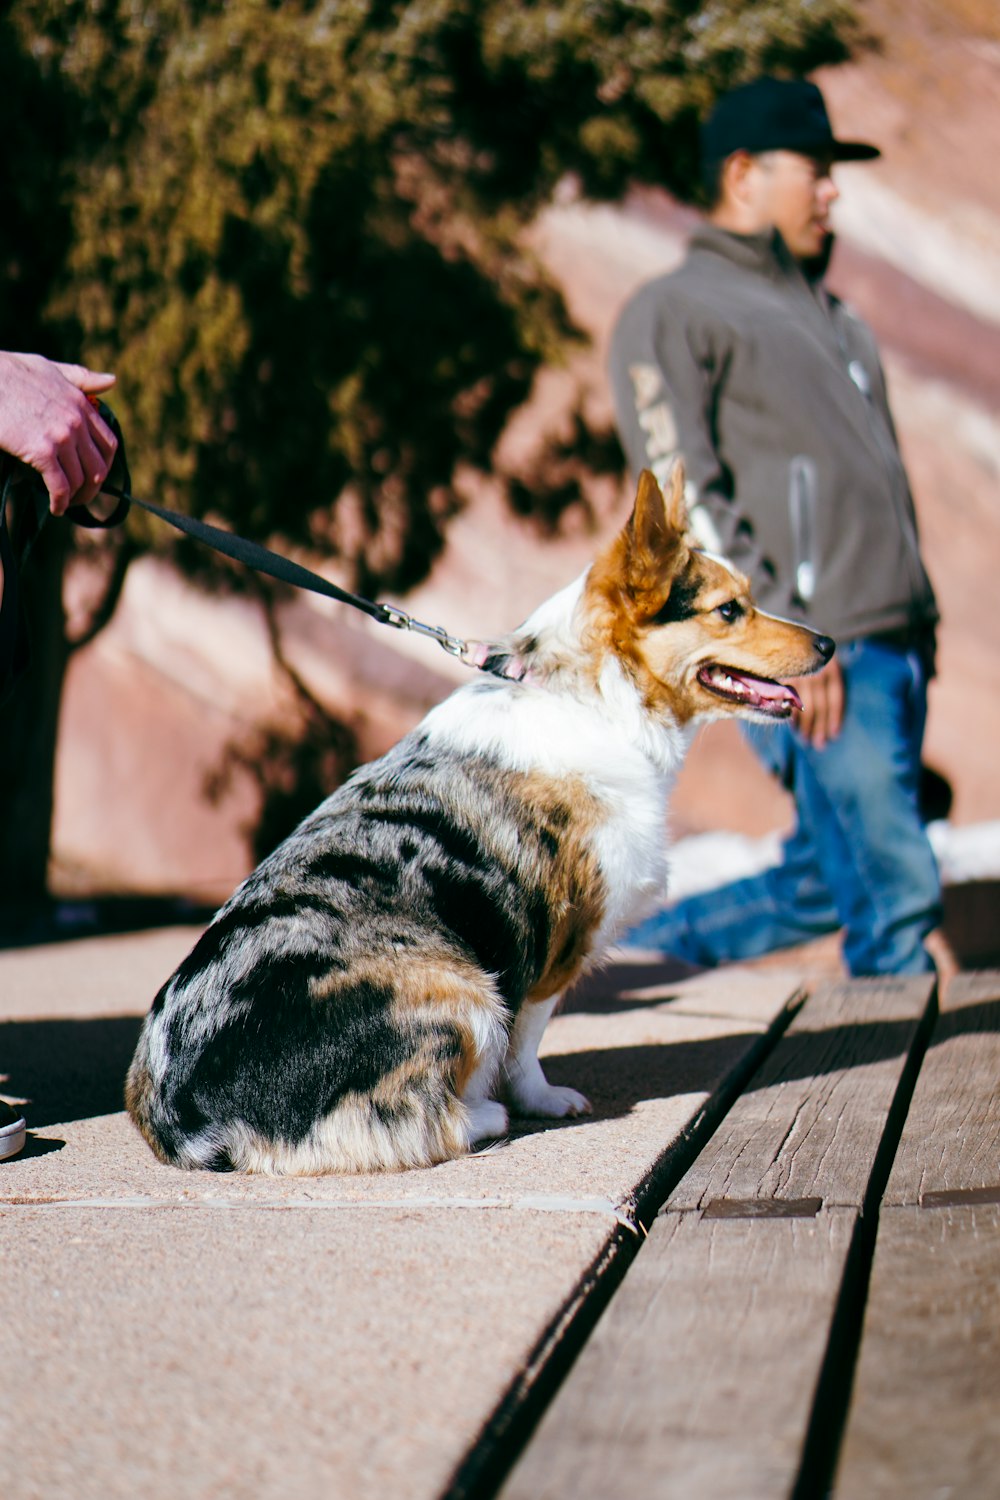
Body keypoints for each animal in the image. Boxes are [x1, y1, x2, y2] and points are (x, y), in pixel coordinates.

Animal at [125, 468, 833, 1170]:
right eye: (728, 610)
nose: (829, 642)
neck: (593, 695)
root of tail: (196, 1118)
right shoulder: (552, 953)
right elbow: (527, 1046)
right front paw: (543, 1101)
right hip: (466, 989)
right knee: (429, 1123)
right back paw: (485, 1113)